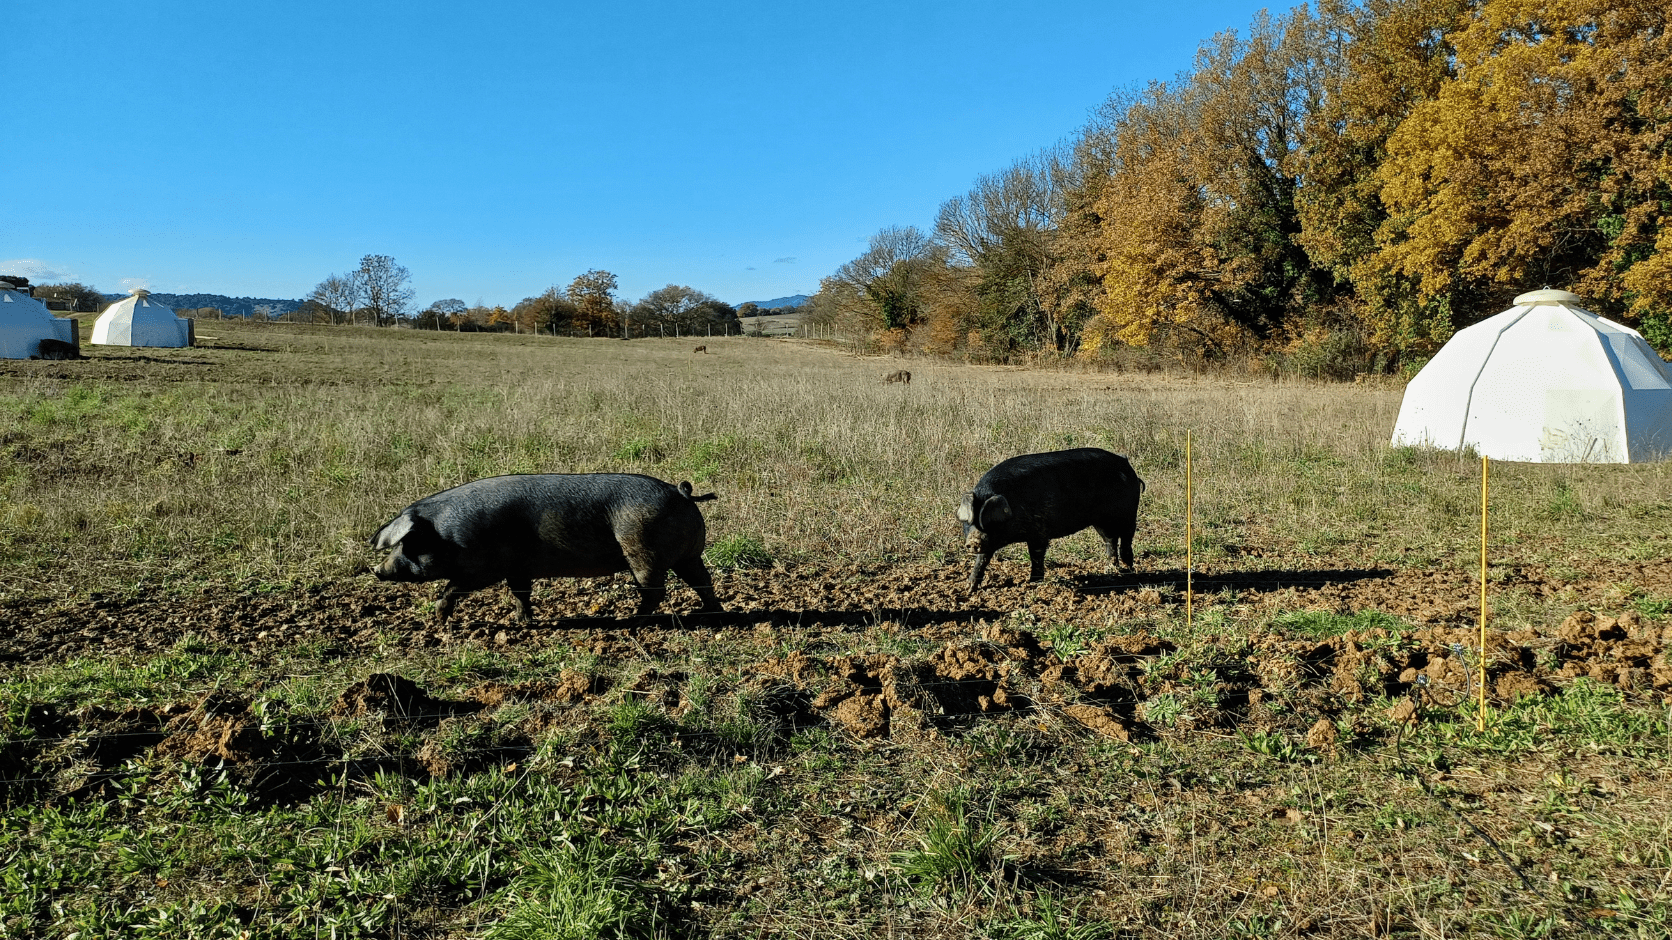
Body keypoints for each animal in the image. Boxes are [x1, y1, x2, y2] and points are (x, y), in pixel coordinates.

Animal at [372, 471, 725, 618]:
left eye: (408, 543)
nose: (377, 570)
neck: (449, 535)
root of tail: (681, 493)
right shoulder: (517, 567)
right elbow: (520, 593)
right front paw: (522, 620)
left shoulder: (482, 568)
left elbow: (453, 587)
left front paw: (437, 617)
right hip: (689, 554)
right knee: (702, 581)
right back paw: (710, 612)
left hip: (641, 548)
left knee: (654, 590)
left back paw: (629, 620)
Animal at [963, 444, 1143, 588]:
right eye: (970, 521)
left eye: (988, 519)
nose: (973, 541)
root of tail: (1125, 463)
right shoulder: (990, 542)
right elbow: (982, 558)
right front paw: (969, 587)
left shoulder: (1039, 531)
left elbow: (1036, 556)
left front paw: (1033, 584)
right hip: (1100, 521)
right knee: (1110, 540)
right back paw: (1110, 571)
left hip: (1128, 512)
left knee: (1127, 537)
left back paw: (1128, 569)